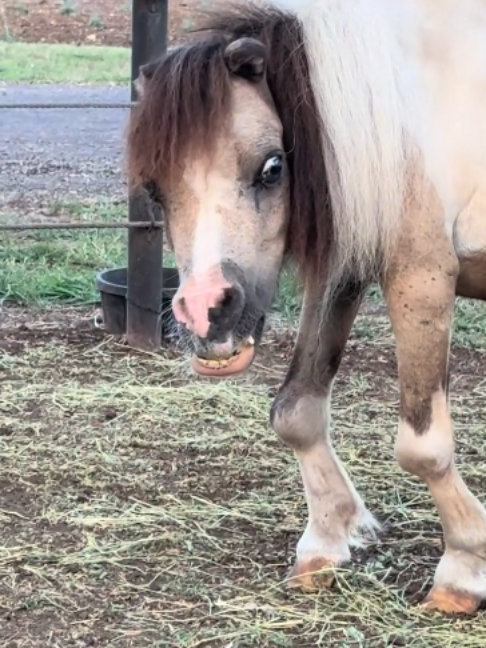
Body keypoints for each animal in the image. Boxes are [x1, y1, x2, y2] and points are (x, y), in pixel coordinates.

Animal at [127, 0, 486, 615]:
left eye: (273, 167)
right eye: (154, 188)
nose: (207, 313)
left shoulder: (421, 276)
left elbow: (423, 447)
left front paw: (464, 569)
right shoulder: (342, 268)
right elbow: (296, 410)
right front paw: (327, 541)